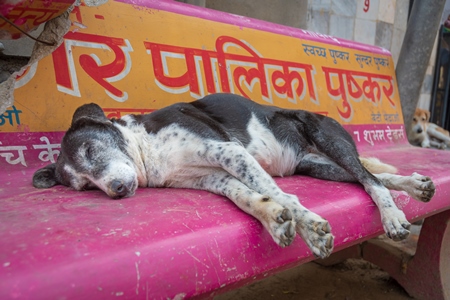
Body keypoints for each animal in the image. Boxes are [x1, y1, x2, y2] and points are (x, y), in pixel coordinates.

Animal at [34, 93, 436, 258]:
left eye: (90, 151)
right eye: (85, 186)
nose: (116, 190)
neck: (149, 151)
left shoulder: (228, 152)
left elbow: (282, 194)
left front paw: (309, 228)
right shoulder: (213, 177)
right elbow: (249, 198)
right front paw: (274, 220)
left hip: (328, 140)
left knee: (371, 180)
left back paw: (393, 215)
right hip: (319, 167)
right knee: (369, 176)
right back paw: (415, 185)